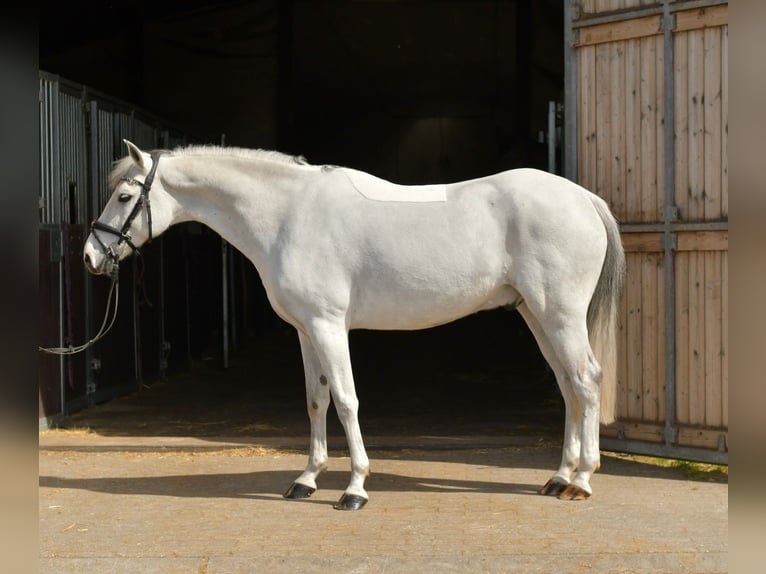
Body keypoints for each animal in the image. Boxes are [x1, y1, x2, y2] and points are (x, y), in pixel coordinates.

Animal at [84, 140, 625, 511]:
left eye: (125, 196)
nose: (91, 256)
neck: (288, 215)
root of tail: (585, 199)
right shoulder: (306, 332)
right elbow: (316, 401)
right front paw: (306, 480)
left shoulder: (328, 327)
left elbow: (346, 401)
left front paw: (355, 488)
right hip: (537, 315)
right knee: (568, 387)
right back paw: (559, 477)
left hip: (560, 315)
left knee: (586, 380)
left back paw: (582, 481)